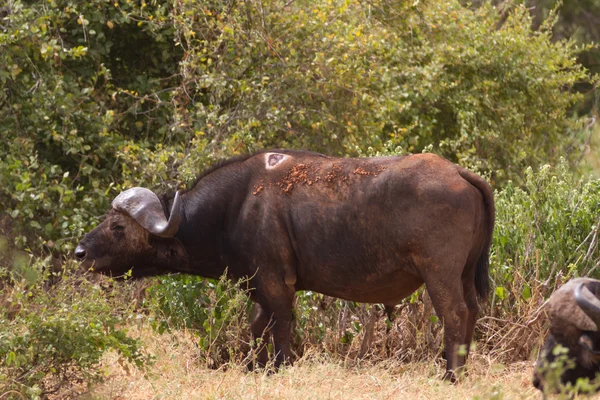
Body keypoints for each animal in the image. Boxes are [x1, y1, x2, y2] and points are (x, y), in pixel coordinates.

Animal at [75, 149, 494, 378]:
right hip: (464, 275)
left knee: (455, 314)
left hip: (439, 274)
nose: (80, 253)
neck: (235, 207)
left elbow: (281, 333)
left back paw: (450, 376)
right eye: (107, 219)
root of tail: (459, 173)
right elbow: (256, 330)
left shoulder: (277, 286)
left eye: (117, 227)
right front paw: (252, 368)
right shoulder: (259, 290)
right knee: (472, 312)